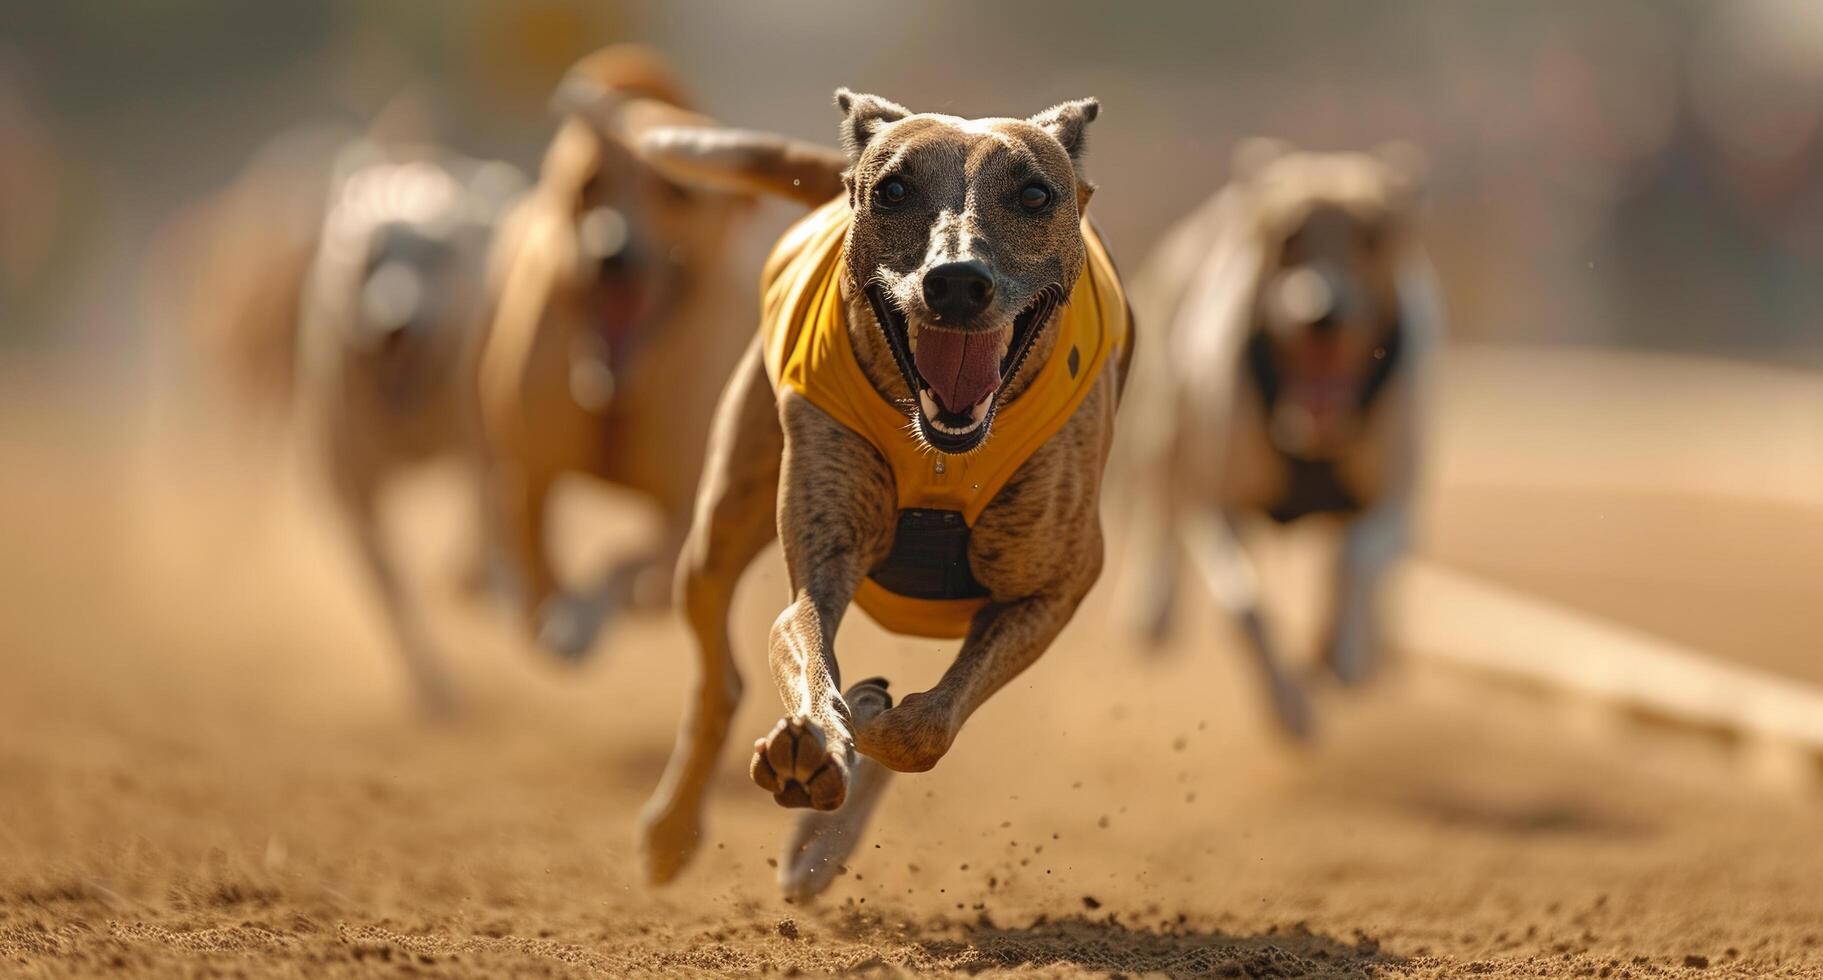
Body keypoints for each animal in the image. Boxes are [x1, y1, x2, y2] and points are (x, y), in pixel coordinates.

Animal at [634, 89, 1130, 892]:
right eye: (893, 190)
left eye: (1034, 194)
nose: (955, 282)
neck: (943, 457)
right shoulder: (821, 557)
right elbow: (802, 642)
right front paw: (815, 740)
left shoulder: (1057, 586)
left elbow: (922, 729)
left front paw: (856, 737)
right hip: (719, 526)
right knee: (718, 678)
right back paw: (676, 828)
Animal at [1115, 137, 1443, 732]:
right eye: (1288, 236)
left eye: (1373, 237)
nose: (1322, 313)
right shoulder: (1217, 505)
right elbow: (1243, 603)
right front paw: (1292, 706)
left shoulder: (1394, 501)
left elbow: (1359, 556)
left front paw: (1345, 653)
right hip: (1162, 424)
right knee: (1158, 504)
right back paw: (1153, 609)